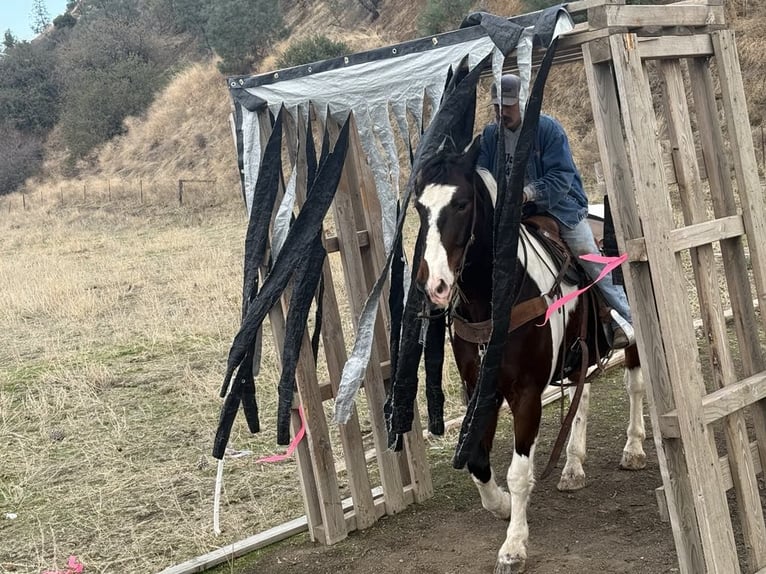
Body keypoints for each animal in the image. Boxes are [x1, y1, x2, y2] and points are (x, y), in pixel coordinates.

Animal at [413, 136, 646, 573]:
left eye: (462, 204)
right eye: (420, 208)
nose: (434, 285)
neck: (493, 302)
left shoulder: (525, 393)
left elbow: (520, 472)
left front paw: (514, 545)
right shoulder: (481, 391)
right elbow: (477, 462)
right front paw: (502, 506)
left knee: (635, 385)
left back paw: (634, 448)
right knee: (581, 395)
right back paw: (572, 467)